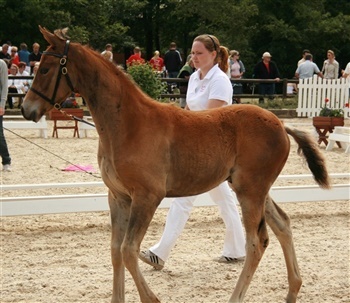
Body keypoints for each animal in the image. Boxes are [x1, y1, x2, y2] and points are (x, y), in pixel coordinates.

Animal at [21, 26, 330, 303]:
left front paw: (151, 299)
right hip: (254, 189)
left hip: (250, 191)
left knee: (256, 243)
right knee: (283, 225)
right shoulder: (118, 197)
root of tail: (280, 124)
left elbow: (129, 251)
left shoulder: (147, 196)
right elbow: (115, 250)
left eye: (46, 69)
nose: (26, 110)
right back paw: (293, 290)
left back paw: (237, 296)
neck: (128, 124)